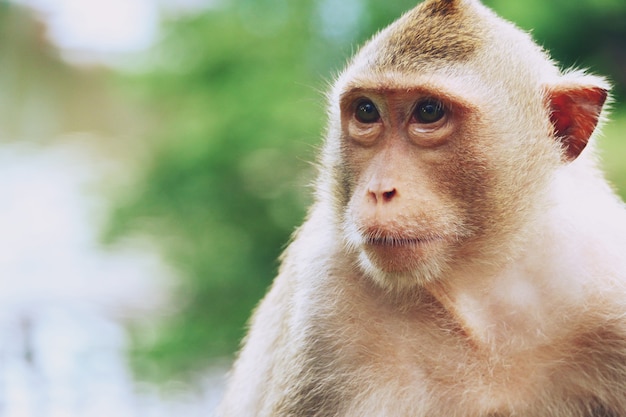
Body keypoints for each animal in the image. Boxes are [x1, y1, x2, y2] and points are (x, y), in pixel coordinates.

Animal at [216, 0, 624, 414]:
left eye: (428, 112)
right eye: (366, 111)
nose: (379, 190)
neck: (482, 288)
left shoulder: (610, 291)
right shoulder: (324, 302)